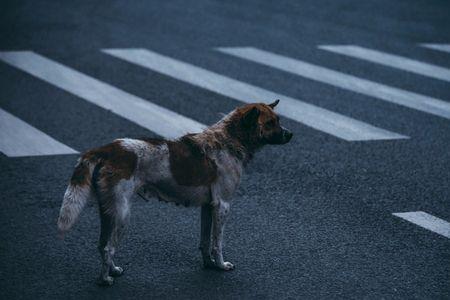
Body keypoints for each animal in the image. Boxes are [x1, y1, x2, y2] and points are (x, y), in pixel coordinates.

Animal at [57, 99, 292, 284]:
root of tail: (105, 150)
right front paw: (221, 265)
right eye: (270, 123)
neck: (228, 140)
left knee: (102, 245)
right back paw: (106, 279)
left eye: (278, 120)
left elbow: (205, 241)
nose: (291, 134)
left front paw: (208, 264)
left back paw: (112, 270)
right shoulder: (223, 206)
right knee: (108, 248)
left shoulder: (208, 207)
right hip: (122, 214)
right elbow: (218, 243)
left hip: (107, 212)